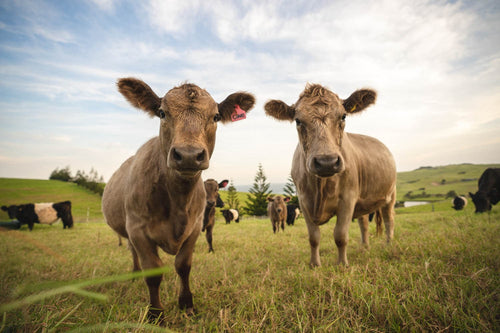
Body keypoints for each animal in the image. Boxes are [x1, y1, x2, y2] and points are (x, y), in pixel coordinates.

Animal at [101, 78, 254, 322]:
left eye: (215, 116)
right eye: (162, 113)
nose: (189, 155)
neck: (178, 201)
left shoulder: (194, 228)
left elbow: (183, 266)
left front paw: (187, 305)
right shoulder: (137, 230)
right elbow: (153, 272)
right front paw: (155, 314)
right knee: (133, 253)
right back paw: (134, 275)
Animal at [264, 84, 396, 266]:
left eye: (343, 116)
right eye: (298, 121)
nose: (327, 161)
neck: (320, 189)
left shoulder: (348, 198)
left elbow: (340, 235)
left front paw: (342, 264)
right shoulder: (303, 202)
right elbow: (313, 237)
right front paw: (314, 264)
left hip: (391, 194)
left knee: (389, 220)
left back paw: (388, 245)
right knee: (363, 222)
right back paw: (364, 247)